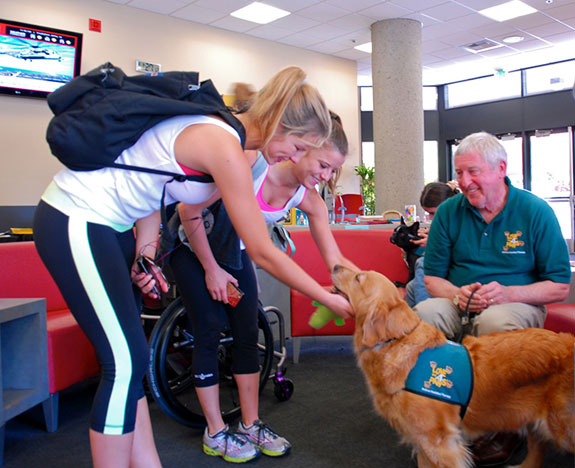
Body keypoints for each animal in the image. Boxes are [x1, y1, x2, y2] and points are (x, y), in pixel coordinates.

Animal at [330, 266, 572, 468]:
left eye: (358, 277)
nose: (334, 265)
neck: (396, 341)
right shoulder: (423, 442)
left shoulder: (438, 442)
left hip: (562, 425)